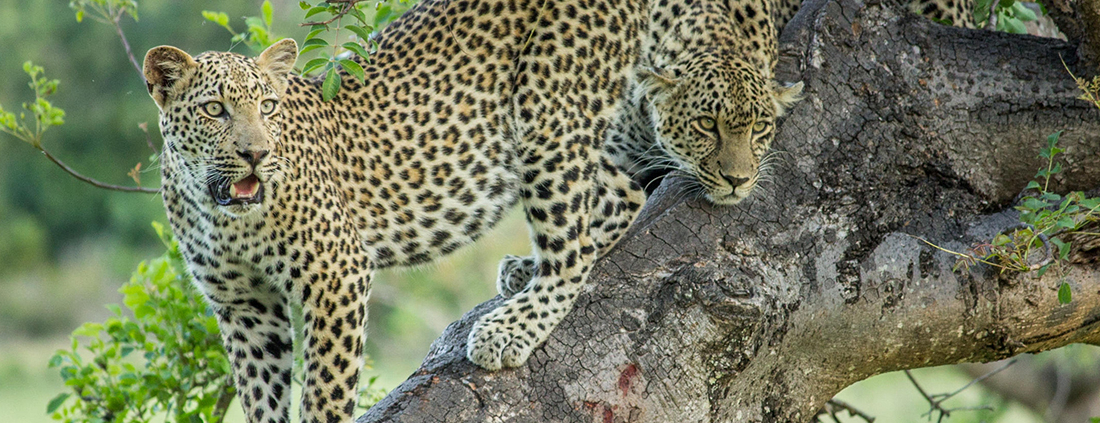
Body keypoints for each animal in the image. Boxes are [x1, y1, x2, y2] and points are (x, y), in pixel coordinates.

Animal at [142, 0, 651, 420]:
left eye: (268, 106)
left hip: (544, 112)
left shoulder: (337, 274)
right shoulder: (242, 305)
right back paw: (525, 270)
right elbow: (262, 394)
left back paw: (508, 329)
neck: (219, 214)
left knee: (574, 247)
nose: (257, 154)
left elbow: (326, 392)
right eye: (214, 109)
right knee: (623, 195)